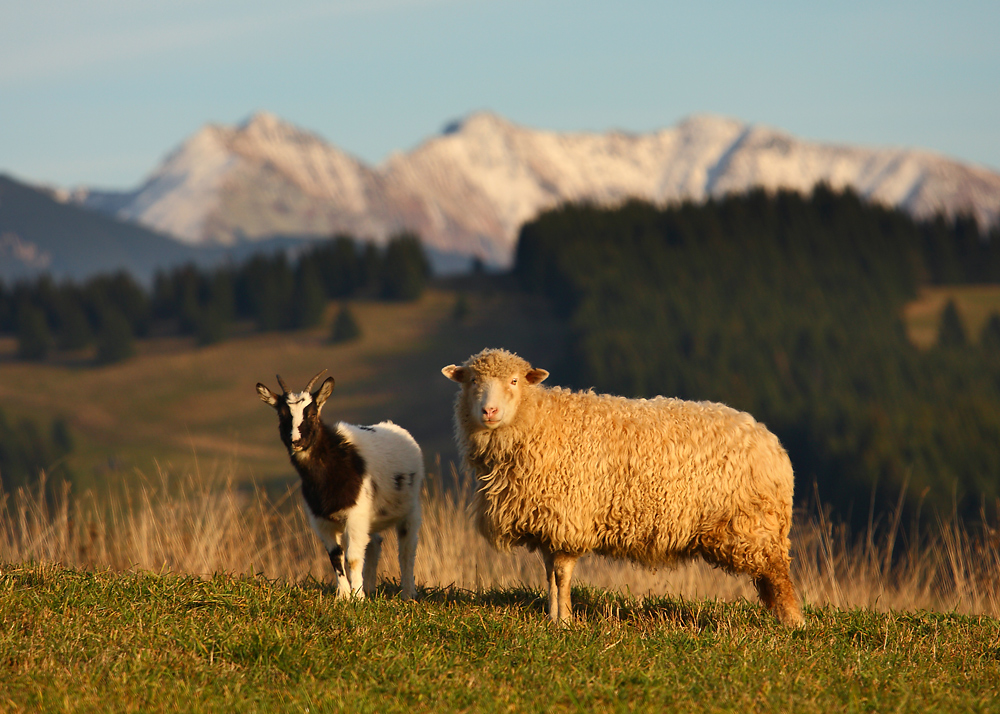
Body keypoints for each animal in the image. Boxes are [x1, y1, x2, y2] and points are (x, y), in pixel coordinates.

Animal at [256, 370, 424, 596]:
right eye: (282, 415)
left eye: (312, 414)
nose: (296, 441)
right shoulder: (321, 520)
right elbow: (335, 556)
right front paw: (343, 596)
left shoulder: (355, 515)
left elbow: (352, 558)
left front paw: (357, 597)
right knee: (374, 544)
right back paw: (370, 588)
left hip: (410, 508)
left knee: (407, 548)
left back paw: (408, 593)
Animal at [444, 350, 804, 624]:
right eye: (472, 381)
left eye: (514, 381)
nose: (489, 411)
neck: (540, 422)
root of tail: (771, 442)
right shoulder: (548, 523)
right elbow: (549, 576)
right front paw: (553, 615)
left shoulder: (570, 517)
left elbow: (561, 574)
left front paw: (564, 621)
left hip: (754, 524)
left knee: (778, 574)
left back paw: (792, 622)